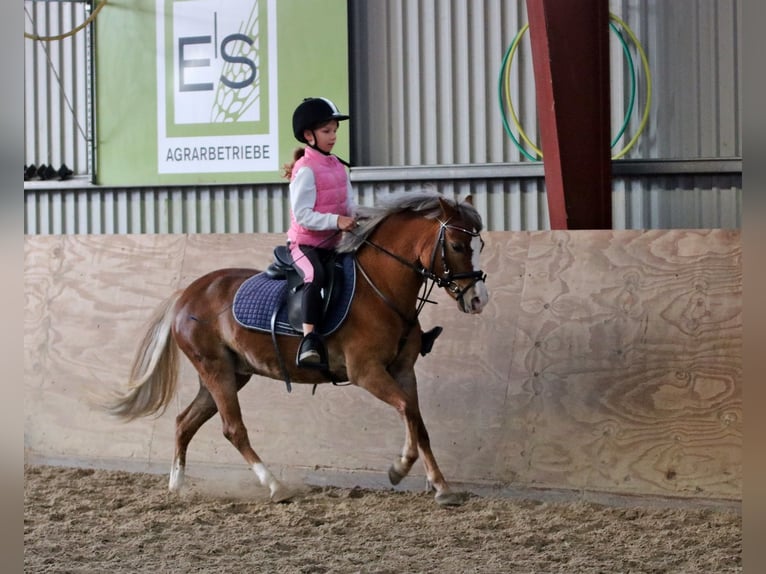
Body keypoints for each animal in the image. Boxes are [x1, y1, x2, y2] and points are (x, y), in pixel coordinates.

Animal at [106, 191, 492, 506]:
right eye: (457, 246)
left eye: (480, 247)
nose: (478, 300)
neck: (380, 289)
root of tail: (186, 294)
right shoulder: (367, 372)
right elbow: (405, 409)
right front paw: (399, 468)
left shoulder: (403, 370)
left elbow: (417, 420)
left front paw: (442, 488)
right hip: (216, 371)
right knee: (233, 429)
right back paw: (275, 486)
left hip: (228, 374)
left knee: (185, 422)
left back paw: (178, 486)